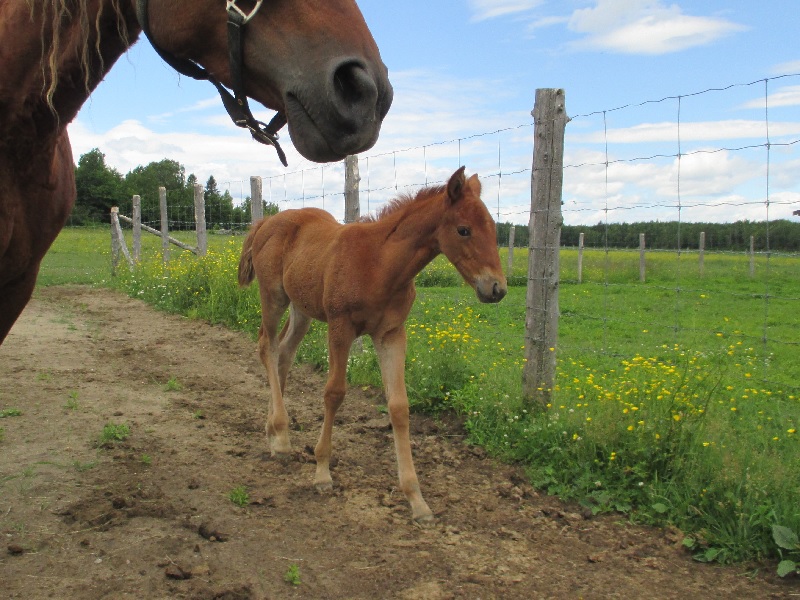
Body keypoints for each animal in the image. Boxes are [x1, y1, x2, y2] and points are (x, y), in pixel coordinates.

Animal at [237, 167, 508, 523]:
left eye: (492, 228)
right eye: (464, 230)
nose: (497, 288)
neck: (380, 264)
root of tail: (265, 222)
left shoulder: (391, 334)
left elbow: (399, 406)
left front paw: (416, 499)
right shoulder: (340, 327)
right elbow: (334, 393)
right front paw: (322, 471)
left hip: (302, 308)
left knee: (283, 353)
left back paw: (273, 434)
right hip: (273, 296)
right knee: (266, 347)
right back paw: (280, 437)